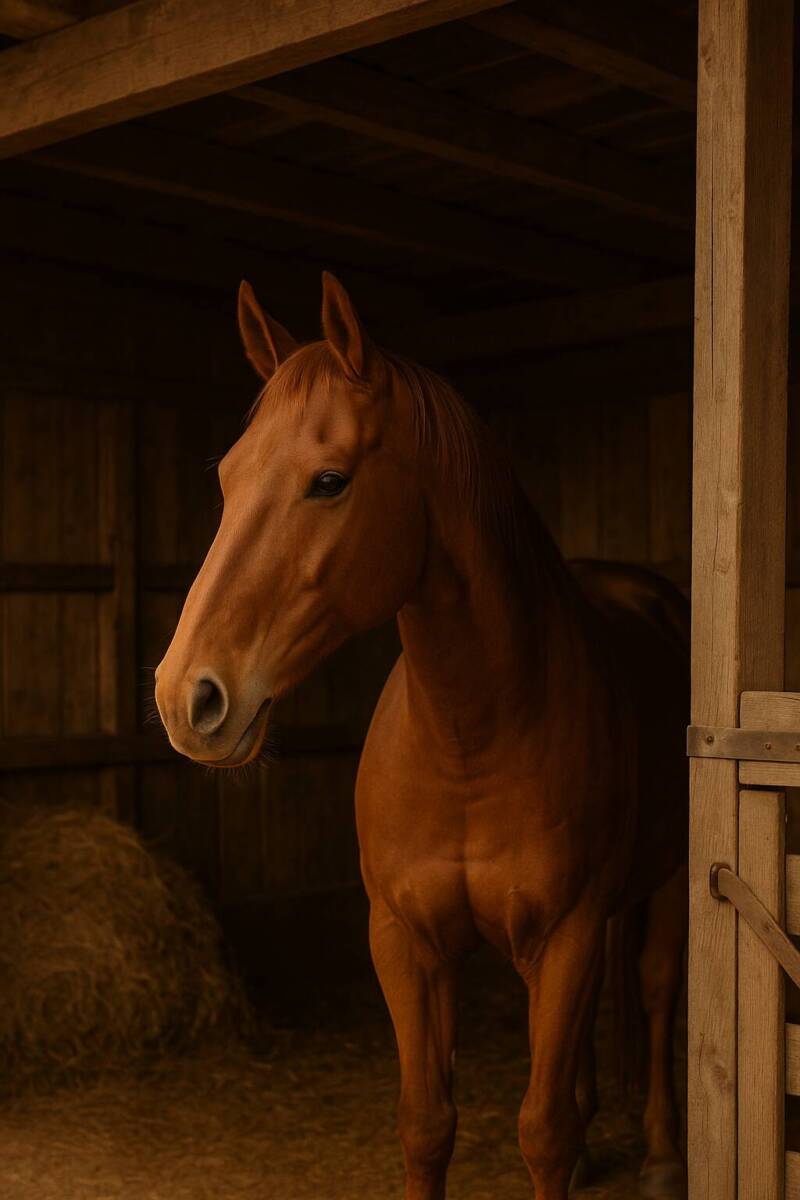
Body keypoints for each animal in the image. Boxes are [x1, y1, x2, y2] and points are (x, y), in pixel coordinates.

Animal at [155, 273, 689, 1200]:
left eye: (329, 480)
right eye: (226, 476)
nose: (187, 696)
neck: (470, 741)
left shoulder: (568, 937)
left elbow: (541, 1131)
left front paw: (581, 1143)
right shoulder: (404, 942)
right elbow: (426, 1124)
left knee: (656, 993)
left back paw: (660, 1152)